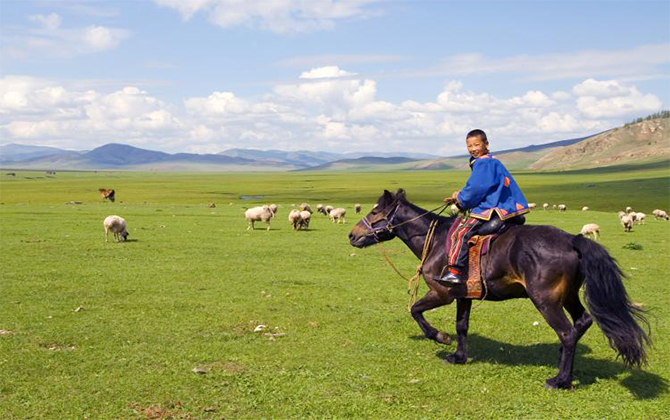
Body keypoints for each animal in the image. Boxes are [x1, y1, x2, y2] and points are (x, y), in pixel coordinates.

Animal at [350, 189, 652, 388]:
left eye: (375, 212)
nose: (352, 235)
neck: (434, 240)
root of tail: (572, 239)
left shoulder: (442, 293)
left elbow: (415, 310)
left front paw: (440, 338)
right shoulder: (463, 296)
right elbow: (462, 326)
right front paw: (458, 356)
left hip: (546, 300)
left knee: (567, 332)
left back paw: (560, 380)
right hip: (567, 296)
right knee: (583, 321)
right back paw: (562, 363)